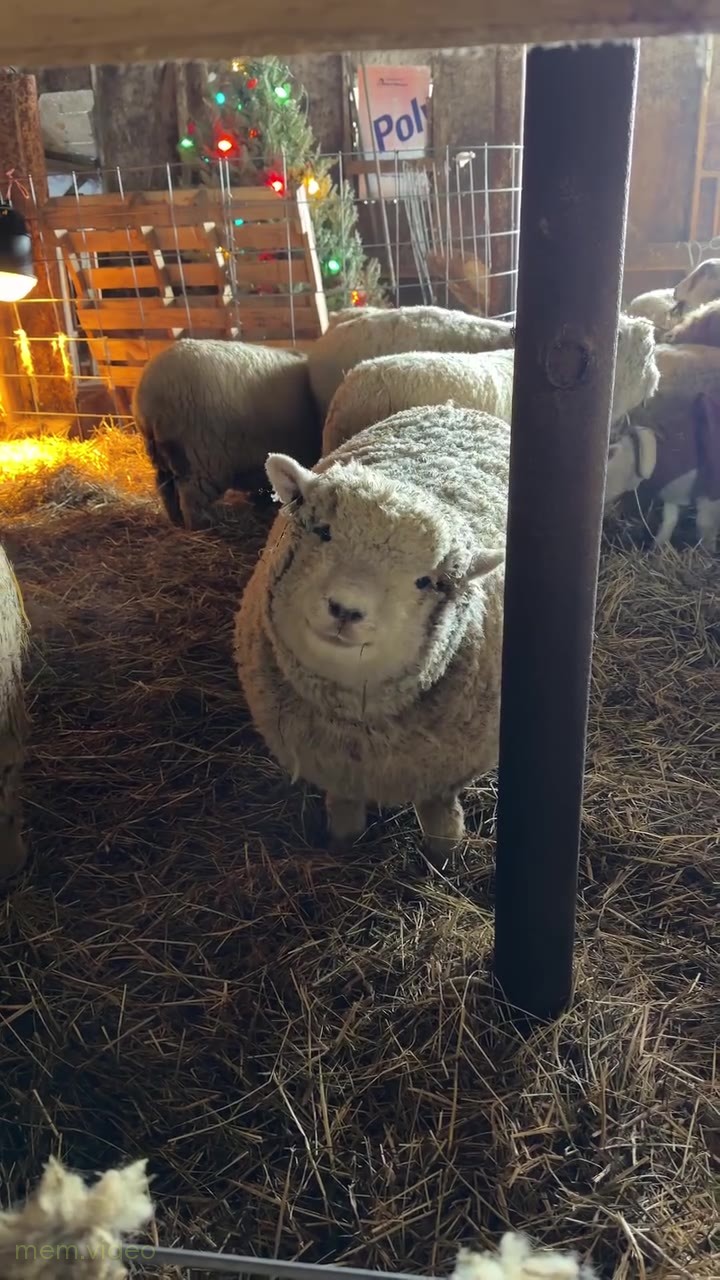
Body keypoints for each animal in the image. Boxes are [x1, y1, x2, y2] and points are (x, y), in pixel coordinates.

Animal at [133, 338, 321, 529]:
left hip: (163, 456)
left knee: (166, 489)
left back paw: (176, 521)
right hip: (201, 457)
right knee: (191, 500)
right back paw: (201, 528)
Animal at [234, 403, 508, 864]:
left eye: (426, 582)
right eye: (323, 532)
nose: (345, 609)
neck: (356, 726)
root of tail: (454, 407)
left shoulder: (445, 770)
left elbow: (438, 810)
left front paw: (444, 855)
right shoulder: (337, 767)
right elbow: (345, 806)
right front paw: (342, 844)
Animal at [605, 390, 720, 549]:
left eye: (611, 454)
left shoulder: (712, 487)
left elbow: (704, 525)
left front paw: (707, 551)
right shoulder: (671, 494)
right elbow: (669, 520)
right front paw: (656, 549)